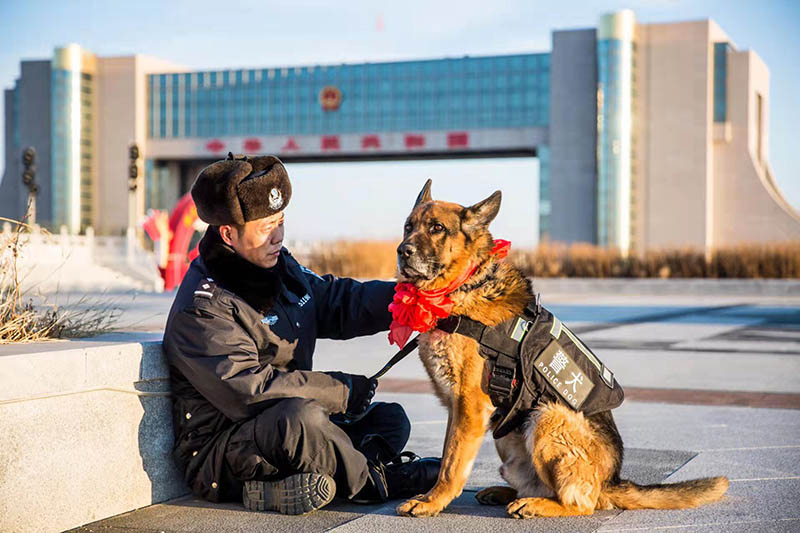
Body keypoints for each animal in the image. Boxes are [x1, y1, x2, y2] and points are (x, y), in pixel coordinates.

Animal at [394, 180, 732, 516]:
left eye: (437, 228)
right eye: (408, 227)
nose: (401, 251)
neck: (464, 284)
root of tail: (611, 481)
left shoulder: (470, 406)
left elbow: (452, 464)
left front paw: (432, 501)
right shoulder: (458, 408)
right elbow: (448, 454)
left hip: (548, 415)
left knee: (582, 503)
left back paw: (537, 505)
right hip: (509, 435)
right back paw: (507, 493)